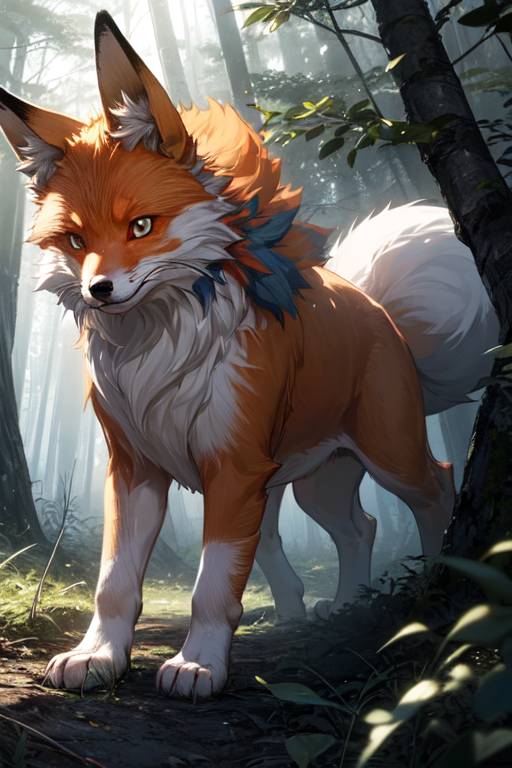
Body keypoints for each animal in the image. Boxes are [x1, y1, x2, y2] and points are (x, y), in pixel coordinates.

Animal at [0, 11, 458, 699]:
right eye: (76, 240)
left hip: (383, 453)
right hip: (309, 485)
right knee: (358, 529)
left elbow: (213, 586)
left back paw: (433, 584)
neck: (160, 356)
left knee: (437, 487)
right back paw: (337, 610)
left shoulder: (233, 466)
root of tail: (373, 305)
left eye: (142, 226)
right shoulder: (135, 469)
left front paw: (198, 665)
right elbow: (114, 583)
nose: (99, 291)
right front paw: (98, 657)